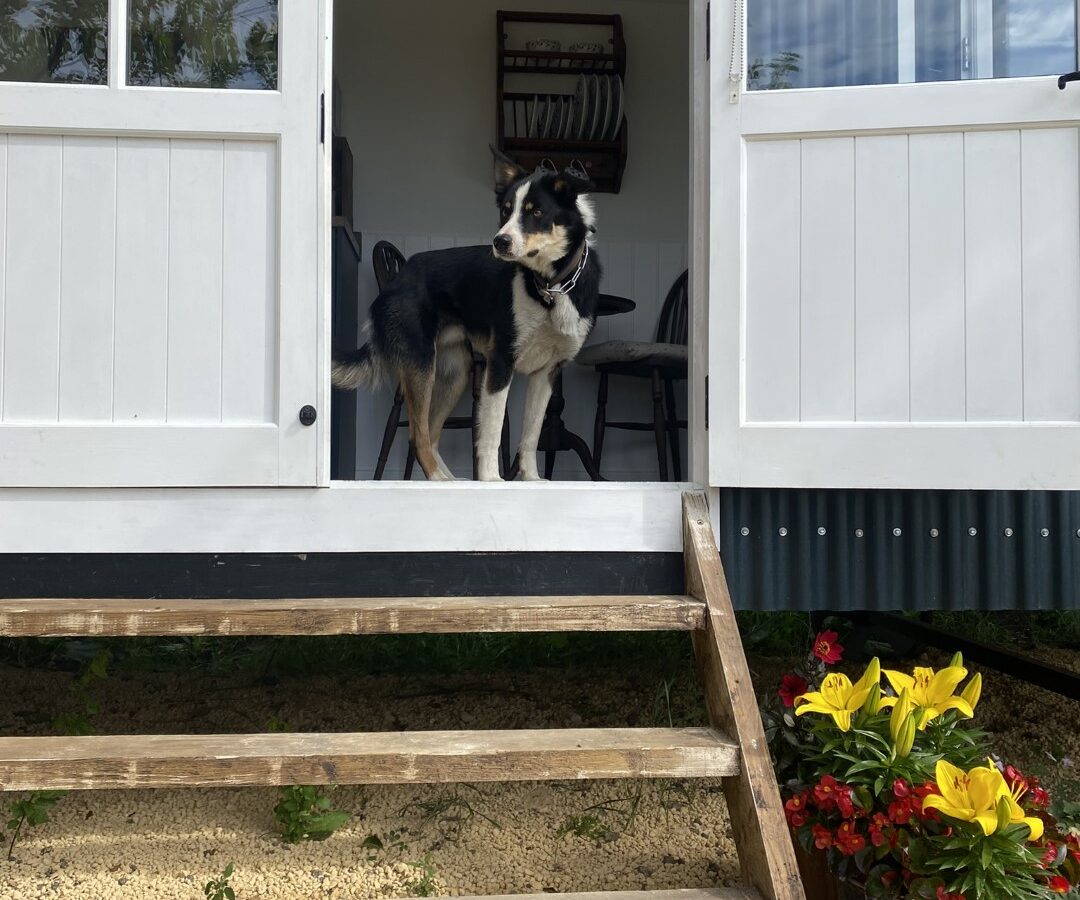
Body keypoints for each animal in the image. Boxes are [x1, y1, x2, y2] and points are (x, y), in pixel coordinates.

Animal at [330, 148, 600, 481]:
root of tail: (397, 279)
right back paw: (437, 479)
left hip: (453, 373)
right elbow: (492, 432)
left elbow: (531, 435)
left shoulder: (547, 372)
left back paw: (450, 479)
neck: (548, 286)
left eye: (537, 212)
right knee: (418, 434)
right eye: (505, 212)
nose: (499, 242)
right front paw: (491, 479)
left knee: (431, 432)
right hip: (421, 363)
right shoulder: (501, 362)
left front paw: (531, 479)